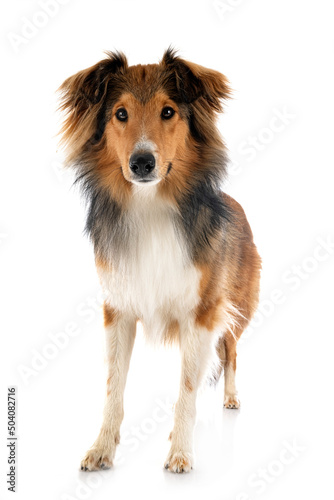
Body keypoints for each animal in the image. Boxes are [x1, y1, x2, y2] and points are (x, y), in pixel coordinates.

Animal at [58, 48, 260, 474]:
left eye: (168, 112)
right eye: (120, 114)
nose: (142, 162)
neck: (150, 206)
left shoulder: (202, 313)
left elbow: (187, 389)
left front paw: (180, 452)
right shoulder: (117, 309)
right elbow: (113, 386)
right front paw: (102, 448)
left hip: (237, 307)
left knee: (231, 352)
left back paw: (231, 398)